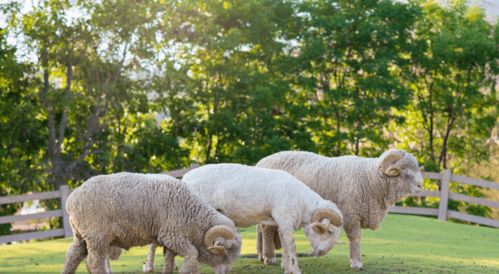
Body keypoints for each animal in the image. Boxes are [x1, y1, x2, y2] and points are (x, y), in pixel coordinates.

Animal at [62, 173, 242, 274]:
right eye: (225, 252)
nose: (226, 272)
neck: (193, 217)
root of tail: (70, 200)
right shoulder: (172, 235)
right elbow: (192, 254)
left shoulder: (171, 239)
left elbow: (169, 261)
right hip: (97, 236)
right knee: (94, 263)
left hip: (82, 236)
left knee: (72, 256)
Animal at [180, 163, 344, 274]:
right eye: (329, 231)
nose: (322, 253)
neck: (301, 202)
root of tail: (186, 177)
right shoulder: (284, 218)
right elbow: (291, 245)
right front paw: (295, 269)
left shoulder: (281, 221)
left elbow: (285, 245)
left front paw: (286, 268)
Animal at [256, 150, 424, 270]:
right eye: (405, 173)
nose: (421, 186)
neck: (371, 179)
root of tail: (261, 161)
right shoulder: (351, 214)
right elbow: (355, 238)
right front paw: (356, 263)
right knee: (266, 230)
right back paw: (269, 258)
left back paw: (261, 255)